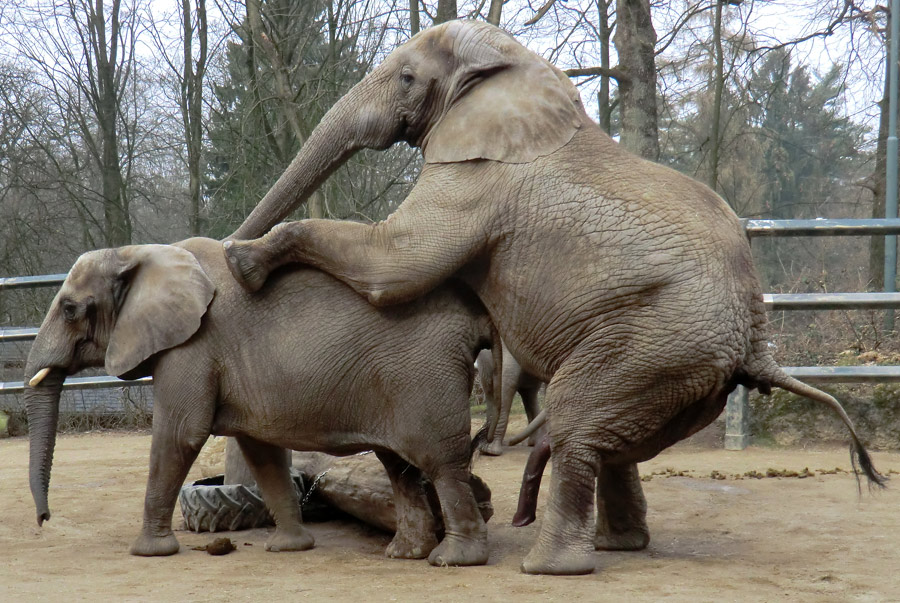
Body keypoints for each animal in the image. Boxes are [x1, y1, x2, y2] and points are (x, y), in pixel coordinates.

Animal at [22, 236, 500, 568]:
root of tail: (475, 315)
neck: (139, 252)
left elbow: (179, 435)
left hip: (425, 374)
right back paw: (404, 554)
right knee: (399, 466)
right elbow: (261, 451)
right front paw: (290, 548)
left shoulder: (192, 347)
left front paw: (147, 553)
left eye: (69, 309)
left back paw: (453, 560)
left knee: (441, 462)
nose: (44, 520)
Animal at [220, 20, 884, 576]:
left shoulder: (476, 179)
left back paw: (548, 566)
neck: (517, 65)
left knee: (576, 422)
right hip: (678, 362)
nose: (224, 244)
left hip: (654, 340)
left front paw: (242, 261)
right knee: (611, 439)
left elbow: (398, 261)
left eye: (407, 77)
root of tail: (759, 343)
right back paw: (617, 545)